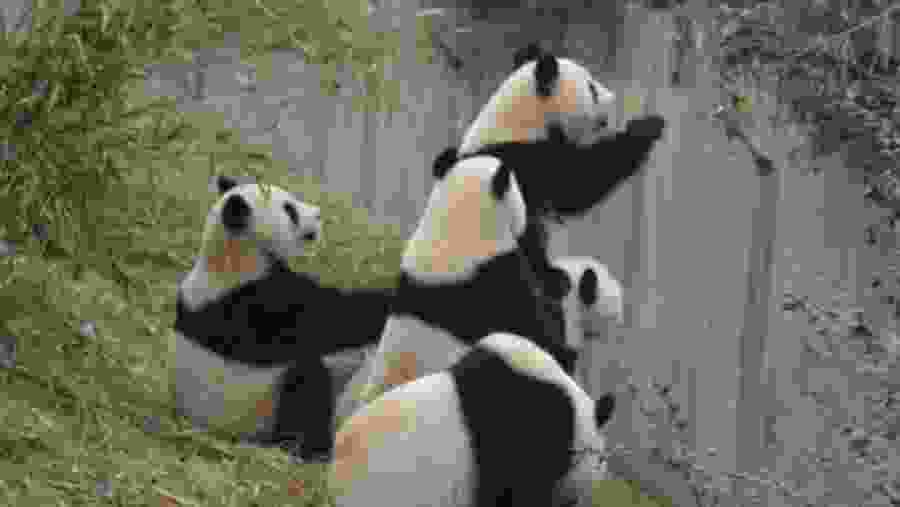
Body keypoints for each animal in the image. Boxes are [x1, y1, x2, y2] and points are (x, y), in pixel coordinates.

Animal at [172, 175, 393, 462]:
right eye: (289, 210)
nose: (318, 214)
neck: (227, 258)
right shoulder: (264, 304)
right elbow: (335, 320)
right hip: (261, 417)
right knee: (305, 381)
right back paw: (313, 448)